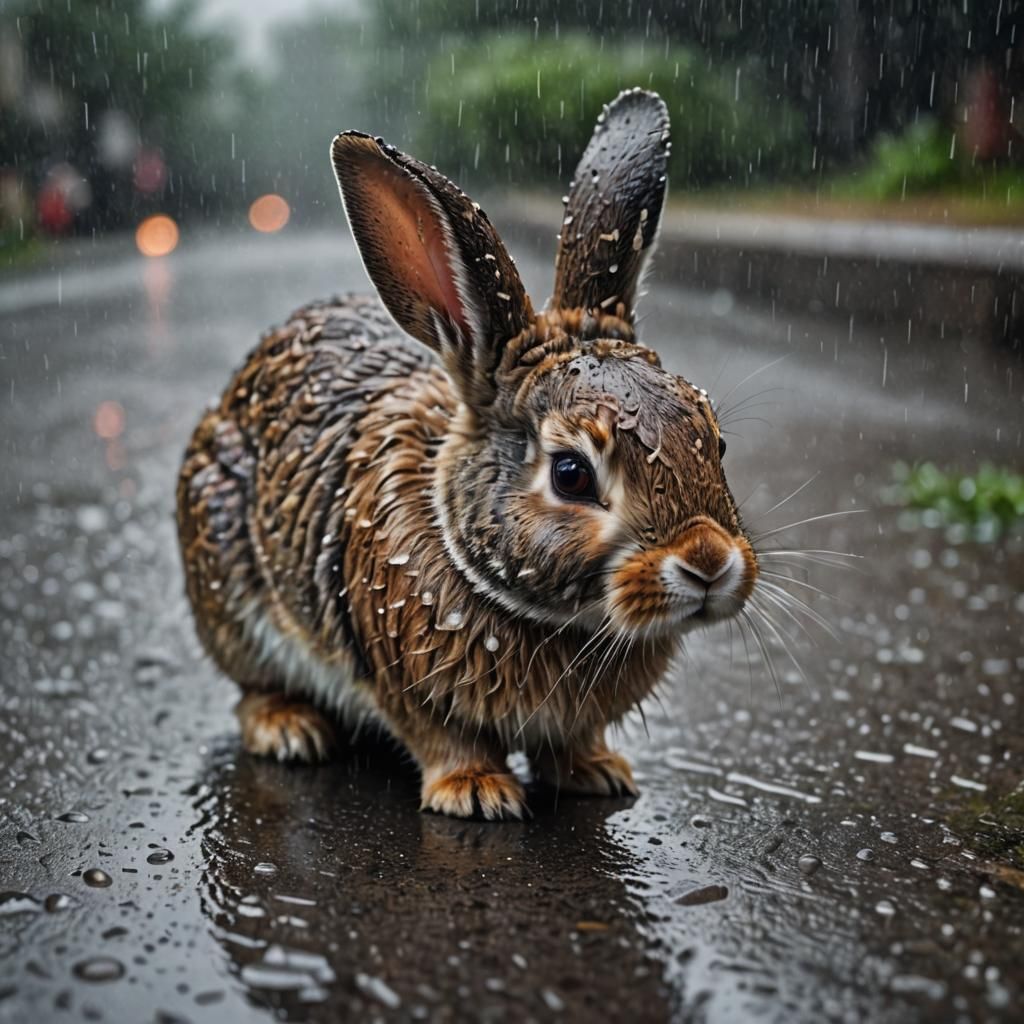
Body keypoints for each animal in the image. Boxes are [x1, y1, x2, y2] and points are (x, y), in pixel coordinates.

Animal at [176, 88, 759, 820]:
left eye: (715, 440)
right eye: (571, 474)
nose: (708, 562)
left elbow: (571, 742)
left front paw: (597, 771)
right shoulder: (403, 678)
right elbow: (444, 738)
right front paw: (477, 792)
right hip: (226, 581)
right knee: (252, 687)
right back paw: (290, 728)